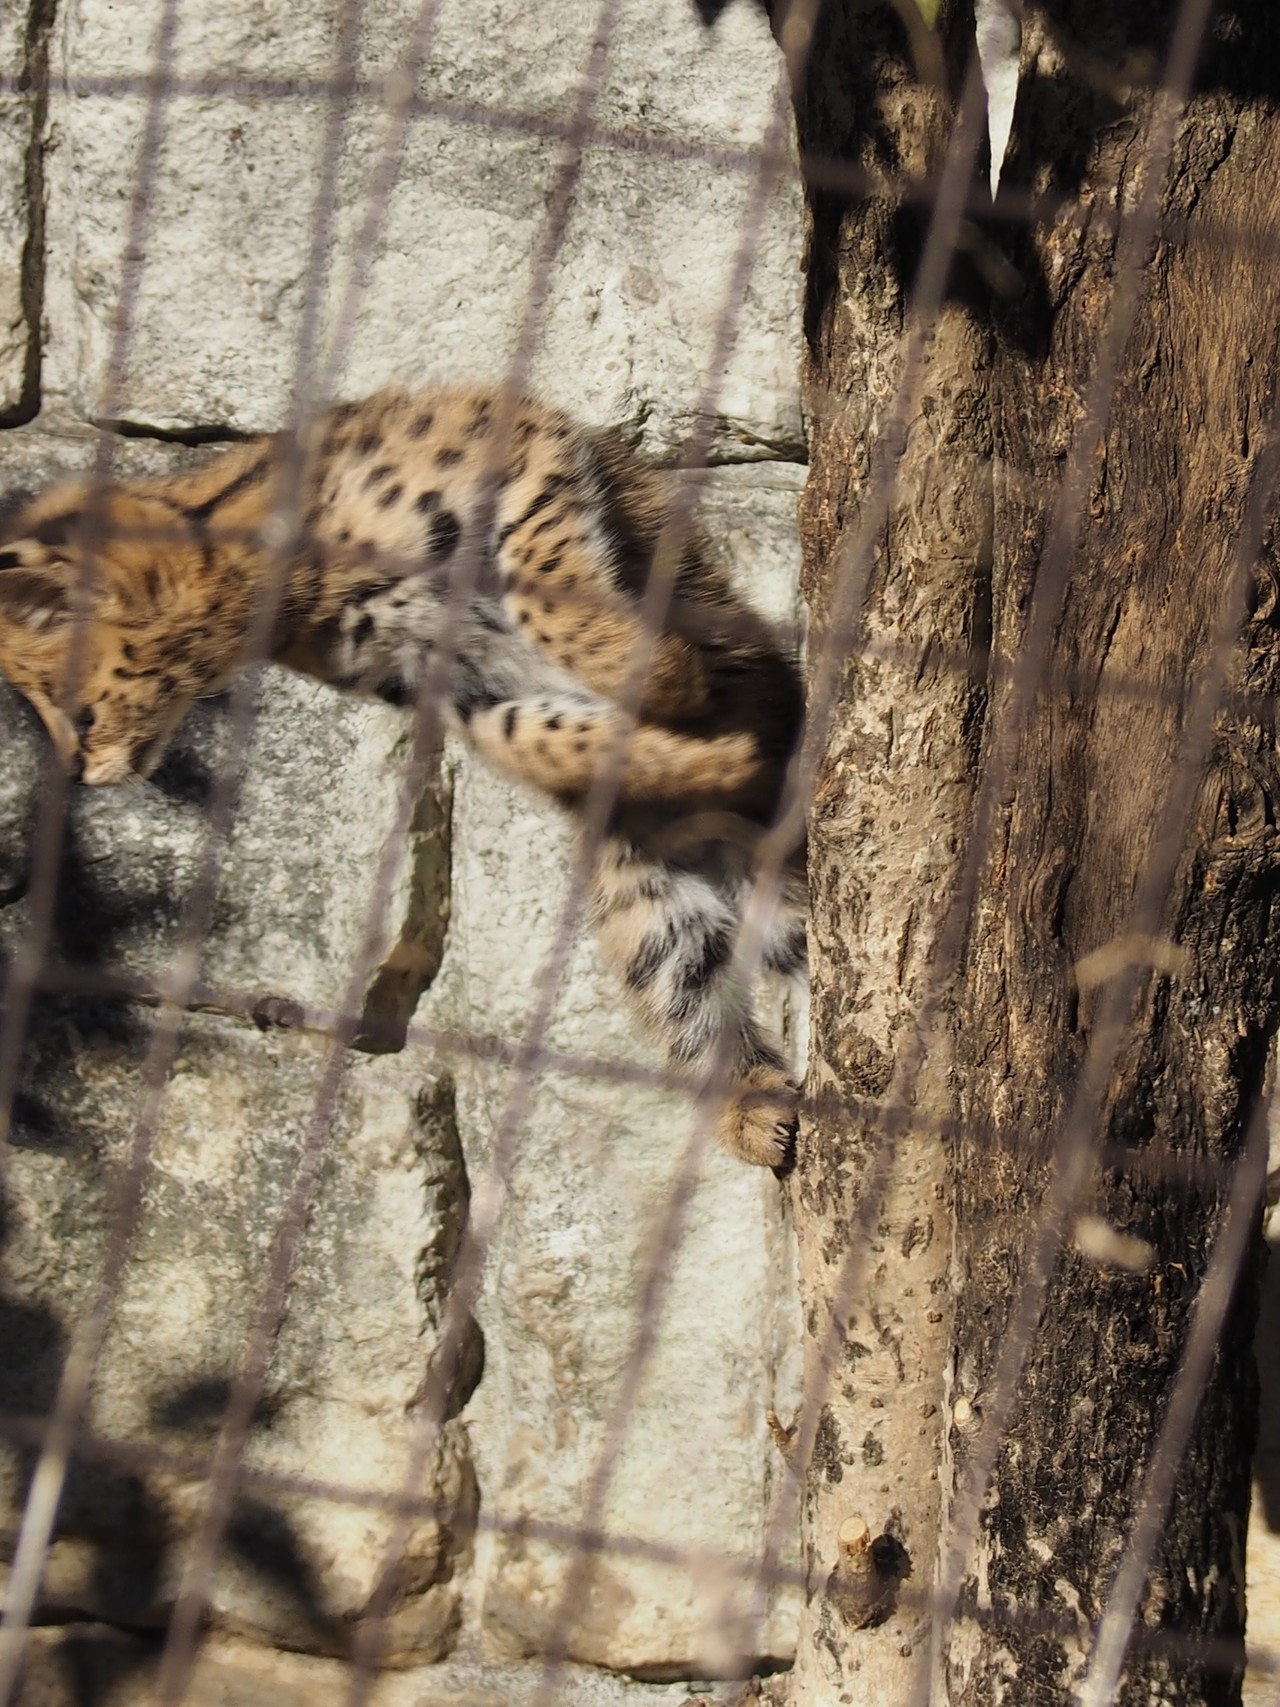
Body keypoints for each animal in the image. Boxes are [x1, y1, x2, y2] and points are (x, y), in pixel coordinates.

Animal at [0, 384, 805, 1160]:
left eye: (81, 714)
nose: (80, 775)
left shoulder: (526, 461)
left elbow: (554, 601)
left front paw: (678, 684)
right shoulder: (450, 683)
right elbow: (536, 737)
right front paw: (702, 753)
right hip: (651, 905)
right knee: (695, 995)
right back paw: (753, 1110)